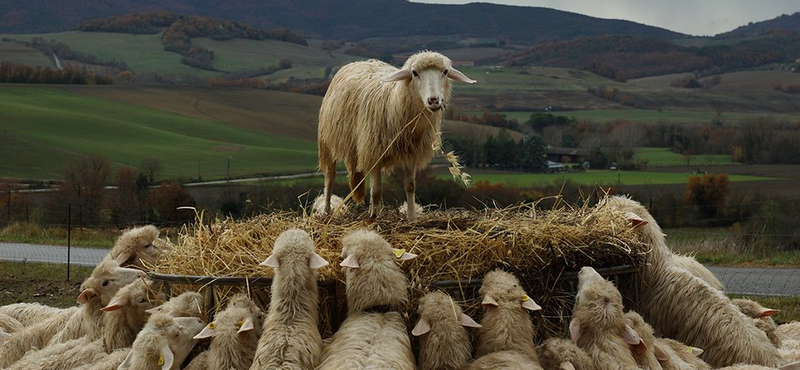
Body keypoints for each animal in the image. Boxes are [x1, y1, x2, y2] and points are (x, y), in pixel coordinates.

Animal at [318, 51, 478, 221]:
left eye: (445, 72)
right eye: (414, 73)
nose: (434, 101)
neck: (394, 101)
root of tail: (359, 62)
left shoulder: (411, 154)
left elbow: (410, 187)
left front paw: (411, 218)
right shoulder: (374, 153)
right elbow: (376, 191)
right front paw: (373, 218)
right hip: (327, 141)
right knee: (330, 177)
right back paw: (327, 210)